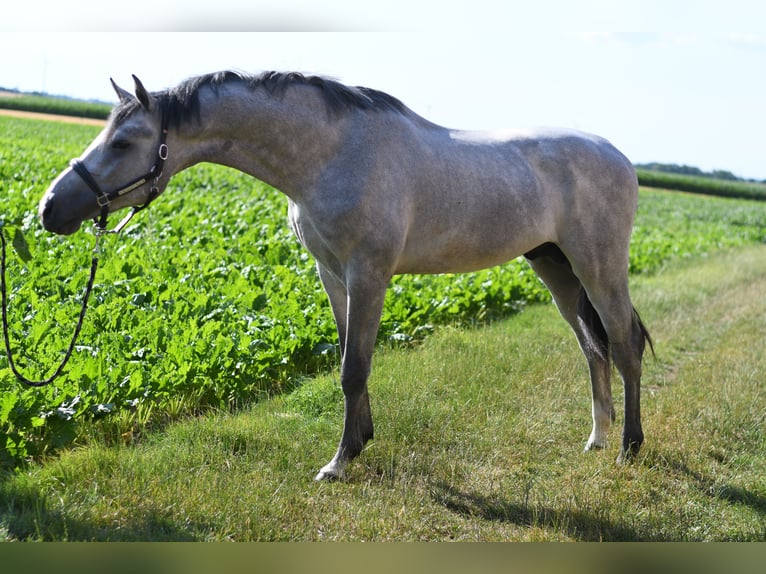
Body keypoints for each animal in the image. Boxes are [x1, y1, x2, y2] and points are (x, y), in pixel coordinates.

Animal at [39, 71, 652, 481]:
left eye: (123, 141)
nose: (49, 210)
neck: (331, 154)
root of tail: (622, 158)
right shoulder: (331, 273)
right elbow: (344, 358)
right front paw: (360, 440)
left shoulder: (369, 275)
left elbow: (354, 368)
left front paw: (338, 462)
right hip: (555, 268)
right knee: (592, 348)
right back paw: (597, 439)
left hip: (598, 267)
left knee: (622, 344)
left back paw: (629, 446)